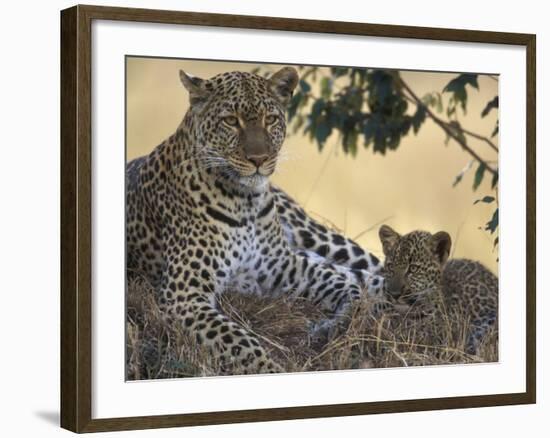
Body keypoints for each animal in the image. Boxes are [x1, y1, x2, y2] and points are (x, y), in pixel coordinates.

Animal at [125, 66, 386, 374]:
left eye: (270, 119)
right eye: (230, 121)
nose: (259, 159)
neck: (245, 202)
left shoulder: (284, 265)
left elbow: (343, 286)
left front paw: (341, 319)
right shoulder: (184, 294)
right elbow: (237, 339)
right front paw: (271, 368)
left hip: (316, 236)